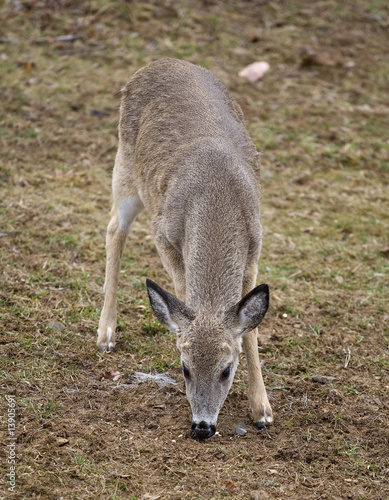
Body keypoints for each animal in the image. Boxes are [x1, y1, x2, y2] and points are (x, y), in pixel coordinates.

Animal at [97, 58, 272, 440]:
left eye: (226, 369)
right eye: (185, 367)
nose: (202, 427)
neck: (218, 198)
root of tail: (160, 61)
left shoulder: (255, 248)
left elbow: (250, 329)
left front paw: (262, 409)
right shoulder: (163, 234)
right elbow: (182, 292)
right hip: (125, 167)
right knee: (115, 228)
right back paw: (106, 334)